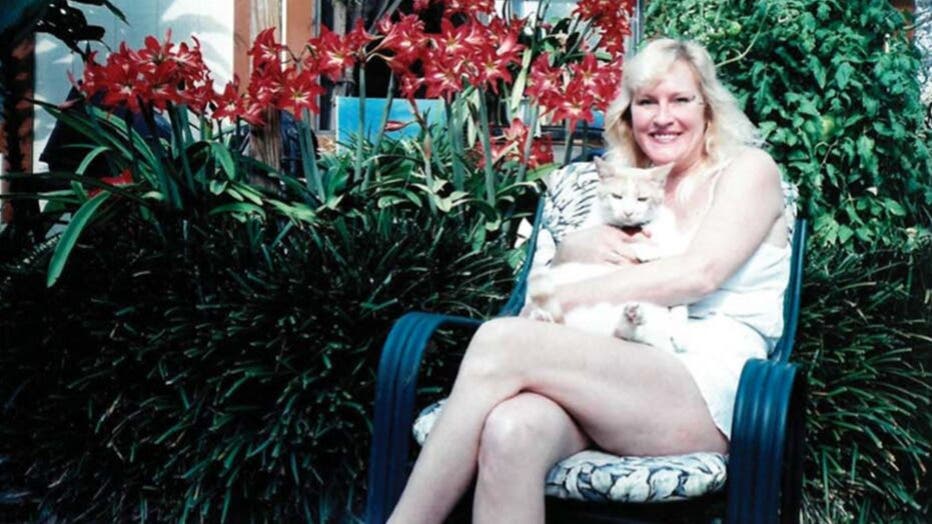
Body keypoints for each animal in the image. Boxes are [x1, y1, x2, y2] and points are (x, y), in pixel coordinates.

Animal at [526, 157, 690, 353]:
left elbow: (681, 305)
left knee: (631, 334)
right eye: (617, 196)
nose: (628, 212)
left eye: (642, 199)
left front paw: (681, 334)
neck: (631, 228)